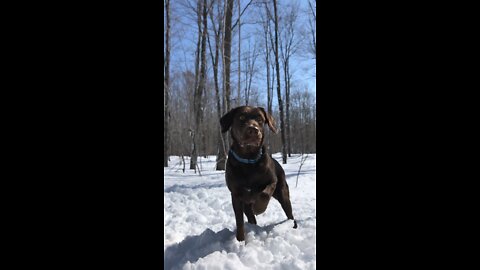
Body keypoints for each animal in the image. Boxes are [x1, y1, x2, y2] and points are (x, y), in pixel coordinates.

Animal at [220, 105, 296, 240]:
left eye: (260, 119)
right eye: (241, 117)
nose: (253, 130)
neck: (248, 160)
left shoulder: (272, 181)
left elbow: (264, 194)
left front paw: (259, 208)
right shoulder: (236, 195)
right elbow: (239, 221)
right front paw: (240, 240)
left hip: (283, 194)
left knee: (290, 214)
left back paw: (293, 226)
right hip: (246, 205)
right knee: (250, 217)